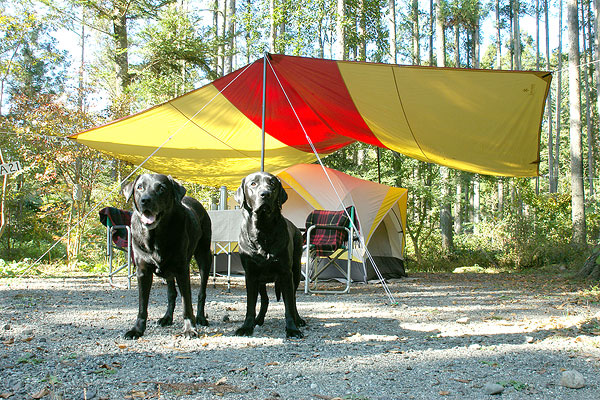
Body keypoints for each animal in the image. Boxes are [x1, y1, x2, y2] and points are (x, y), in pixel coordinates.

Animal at [120, 173, 212, 340]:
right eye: (139, 187)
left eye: (161, 188)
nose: (145, 200)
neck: (156, 236)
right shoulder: (142, 272)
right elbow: (142, 305)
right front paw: (137, 329)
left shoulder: (182, 270)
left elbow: (187, 303)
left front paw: (189, 328)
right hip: (169, 272)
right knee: (171, 293)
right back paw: (167, 317)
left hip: (204, 257)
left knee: (201, 292)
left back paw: (201, 317)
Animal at [233, 171, 304, 338]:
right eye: (253, 184)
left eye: (272, 184)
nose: (265, 194)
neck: (263, 230)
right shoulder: (251, 275)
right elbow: (250, 305)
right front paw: (247, 326)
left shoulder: (286, 273)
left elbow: (288, 305)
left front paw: (292, 329)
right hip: (261, 281)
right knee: (265, 300)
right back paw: (258, 320)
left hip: (296, 272)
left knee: (293, 299)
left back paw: (298, 320)